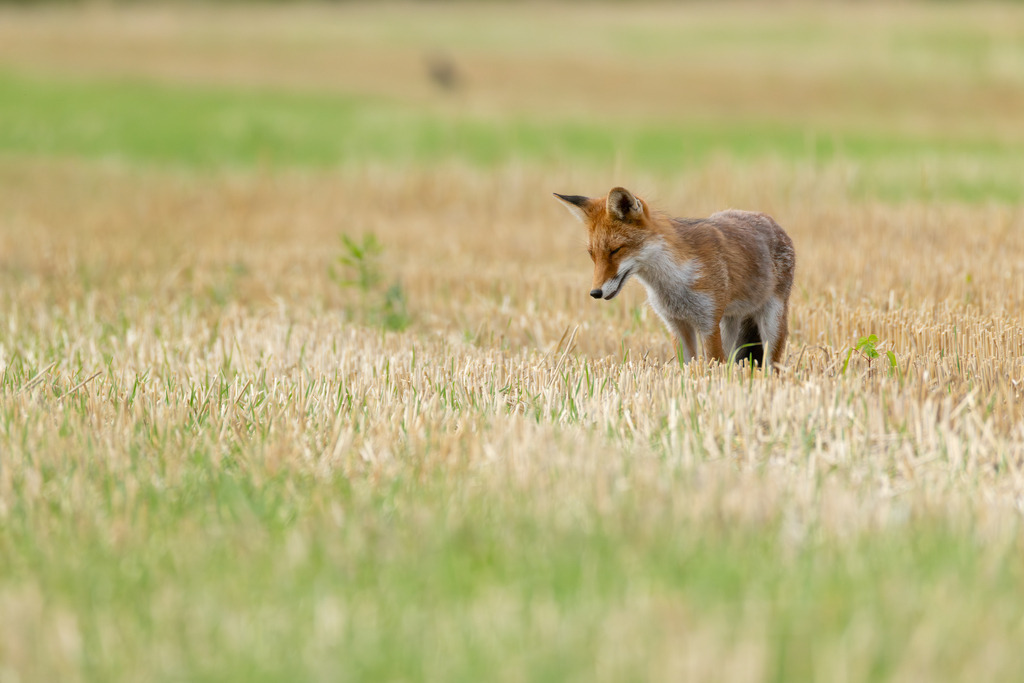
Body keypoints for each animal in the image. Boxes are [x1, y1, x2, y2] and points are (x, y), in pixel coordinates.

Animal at [554, 187, 795, 368]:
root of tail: (772, 222)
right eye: (592, 254)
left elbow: (714, 365)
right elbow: (687, 368)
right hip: (730, 322)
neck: (672, 284)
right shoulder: (676, 325)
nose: (595, 292)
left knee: (772, 367)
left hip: (771, 324)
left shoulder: (708, 323)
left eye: (615, 250)